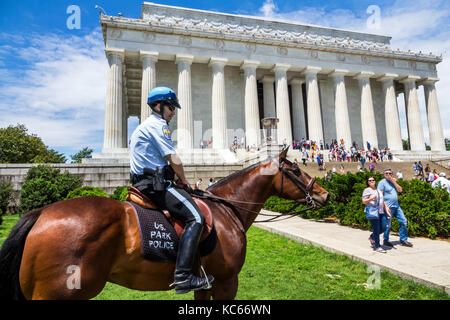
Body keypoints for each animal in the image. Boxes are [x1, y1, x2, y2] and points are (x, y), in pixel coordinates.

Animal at [1, 148, 328, 300]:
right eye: (295, 169)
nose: (325, 194)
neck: (227, 208)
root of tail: (41, 213)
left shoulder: (206, 282)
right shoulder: (226, 281)